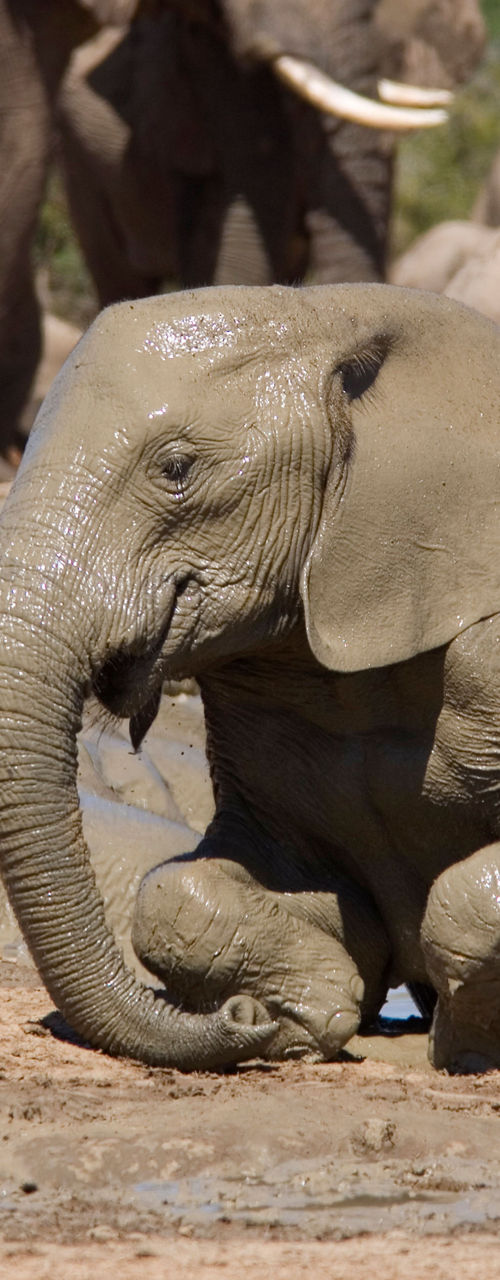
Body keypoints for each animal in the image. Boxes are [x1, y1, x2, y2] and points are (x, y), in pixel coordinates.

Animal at [1, 280, 500, 1073]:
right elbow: (182, 889)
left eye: (176, 469)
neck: (338, 316)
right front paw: (304, 1018)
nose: (243, 1017)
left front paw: (462, 1045)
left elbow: (467, 898)